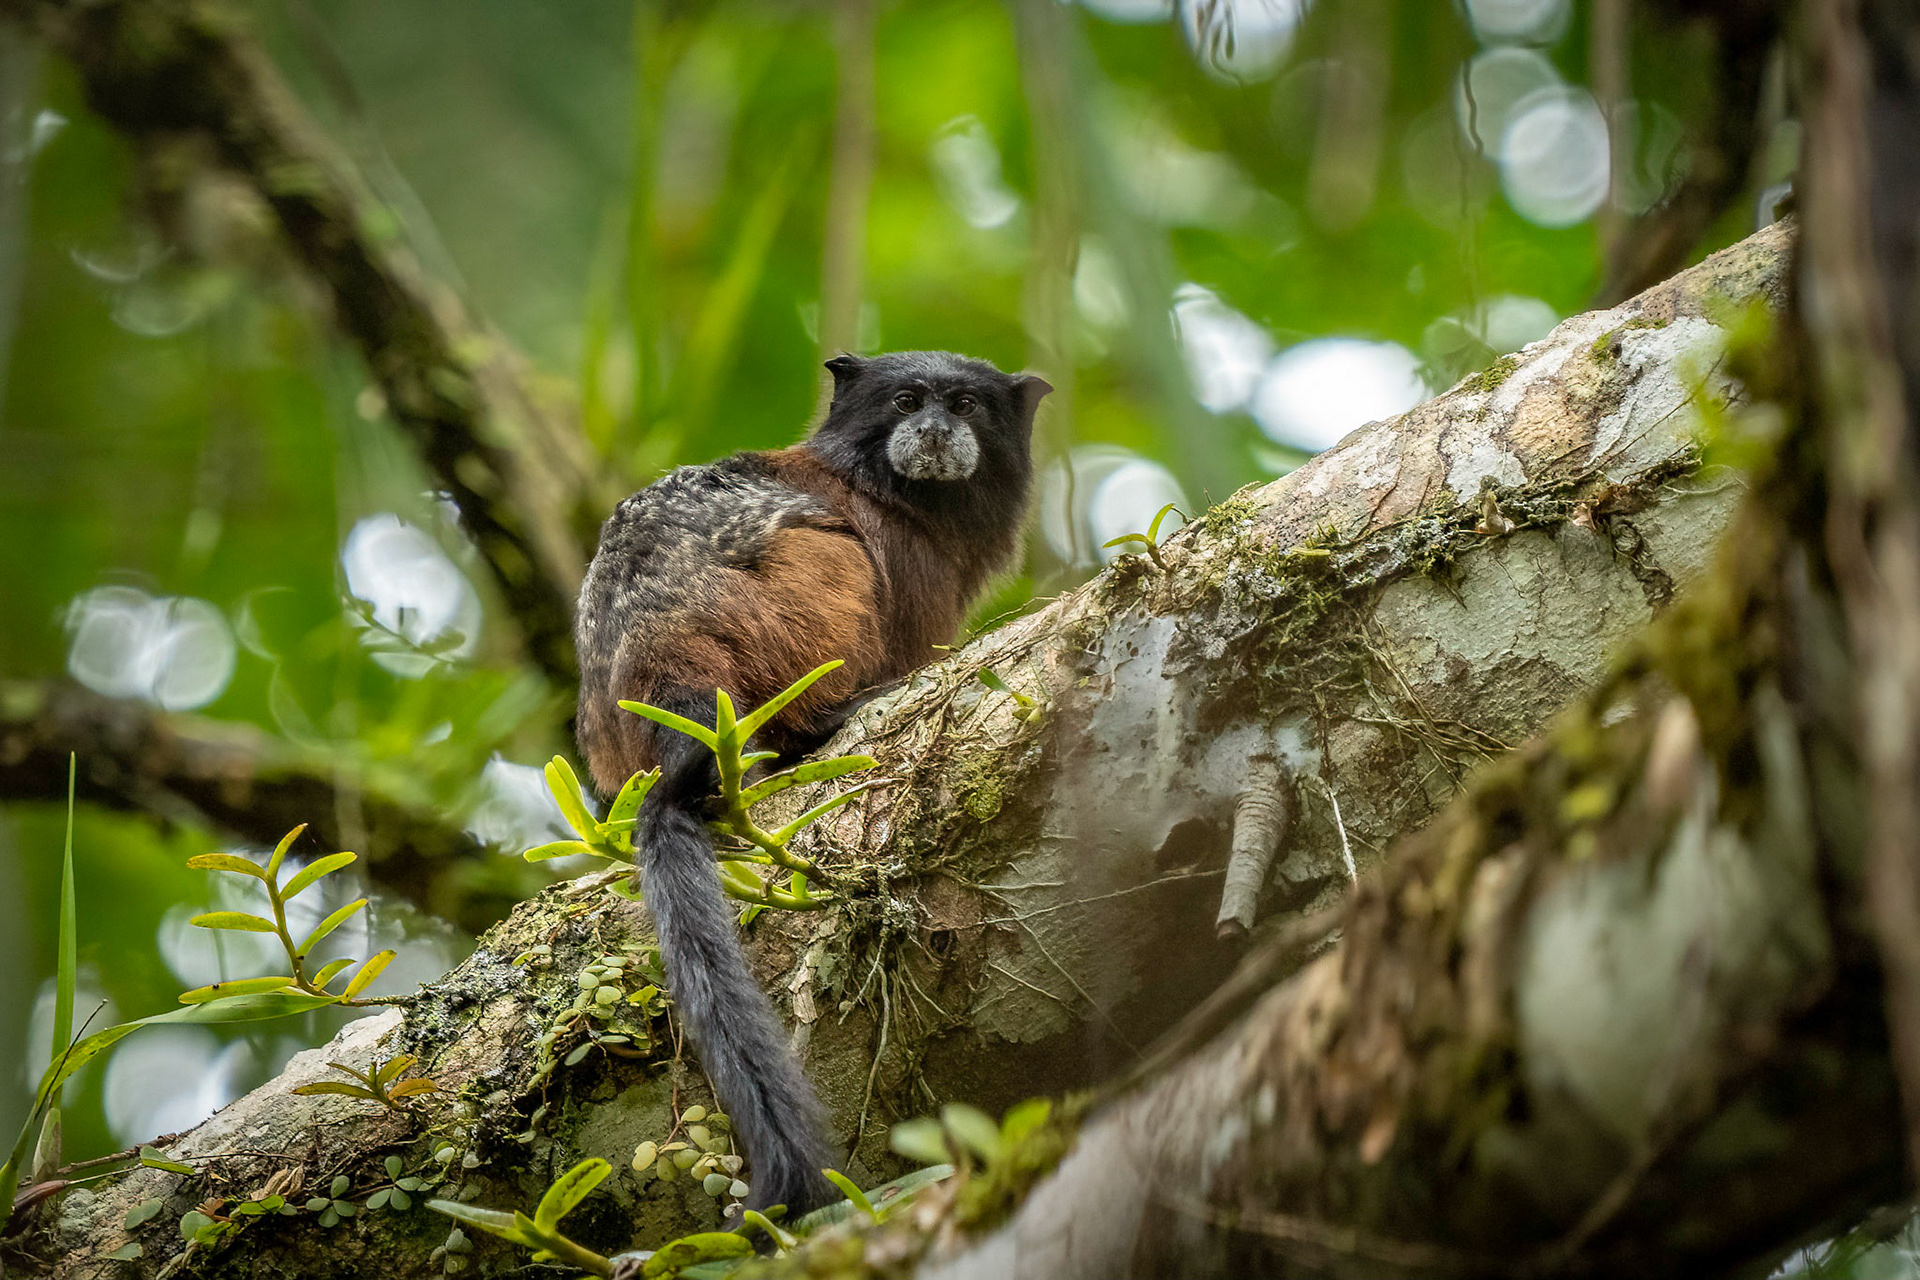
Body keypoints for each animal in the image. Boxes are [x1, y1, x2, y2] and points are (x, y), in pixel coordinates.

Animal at [573, 351, 1051, 1217]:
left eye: (965, 405)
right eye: (907, 401)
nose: (935, 430)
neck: (885, 488)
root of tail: (664, 661)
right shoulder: (903, 559)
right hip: (775, 608)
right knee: (829, 552)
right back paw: (830, 715)